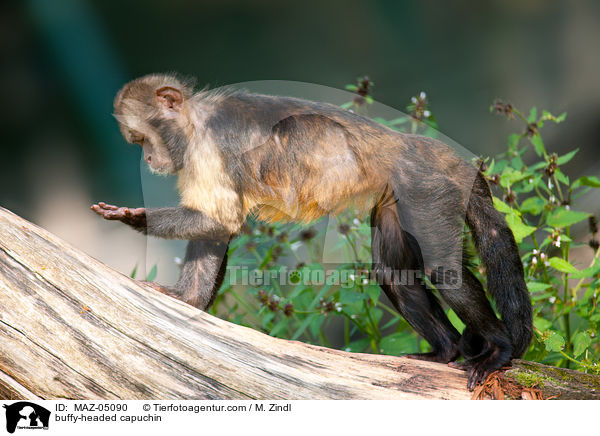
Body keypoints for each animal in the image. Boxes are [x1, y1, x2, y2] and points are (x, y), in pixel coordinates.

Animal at [94, 73, 536, 390]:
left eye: (143, 139)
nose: (148, 158)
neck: (194, 119)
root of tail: (426, 148)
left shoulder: (207, 147)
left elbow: (221, 220)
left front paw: (134, 218)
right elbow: (218, 226)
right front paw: (187, 299)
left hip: (426, 186)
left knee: (445, 270)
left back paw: (498, 351)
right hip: (399, 198)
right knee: (393, 274)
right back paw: (445, 352)